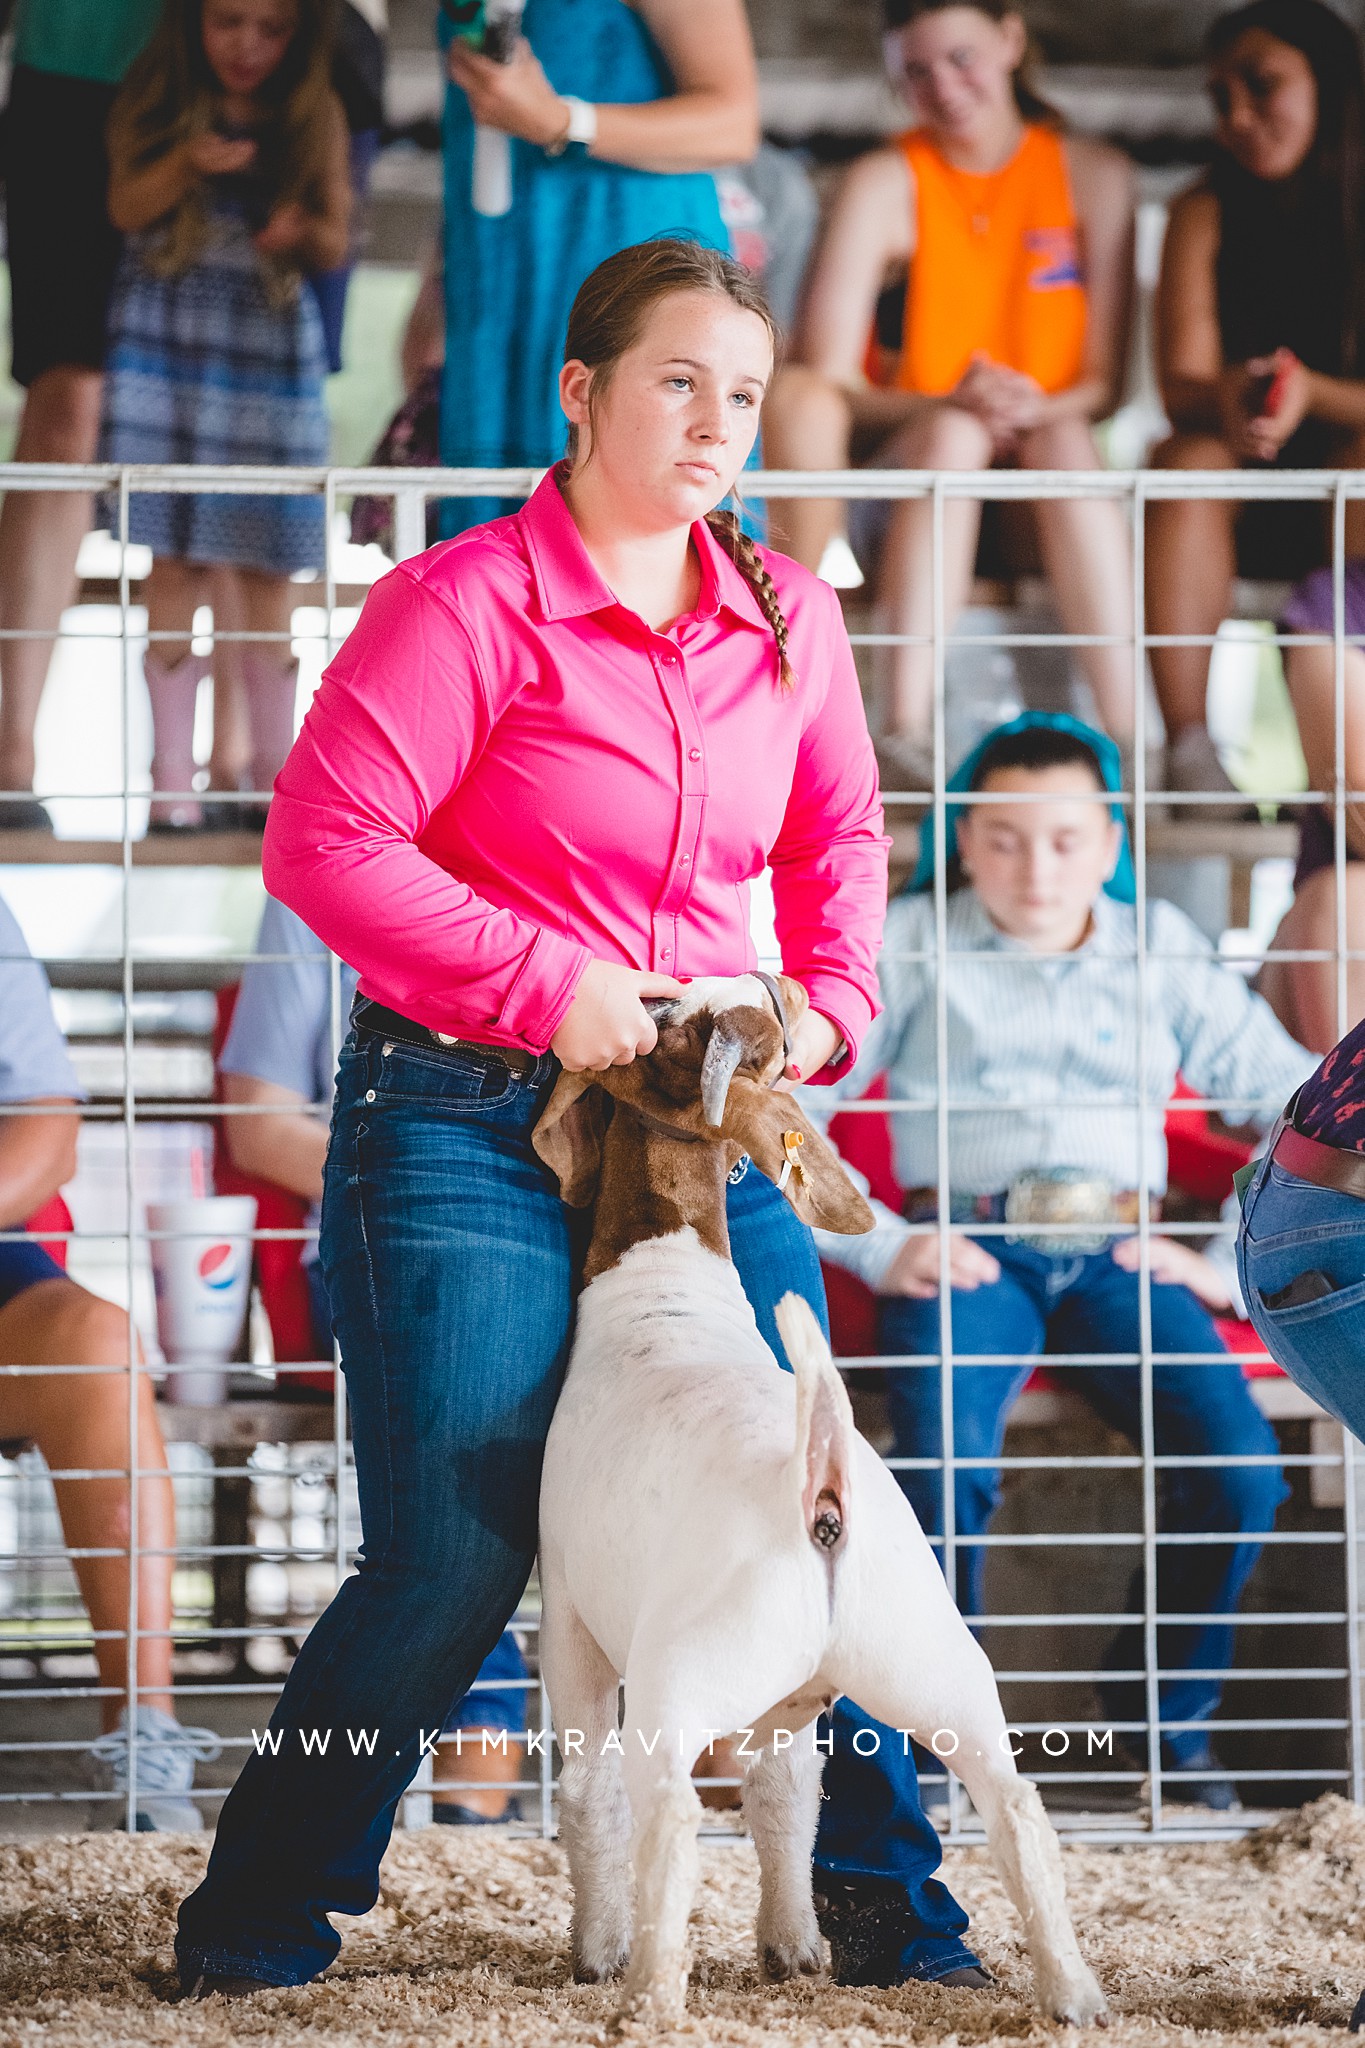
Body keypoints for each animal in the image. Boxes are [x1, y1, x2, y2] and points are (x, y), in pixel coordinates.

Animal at [532, 978, 1113, 2031]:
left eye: (668, 1035)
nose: (652, 994)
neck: (664, 1289)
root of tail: (821, 1485)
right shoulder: (795, 1703)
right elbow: (787, 1794)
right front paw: (793, 1947)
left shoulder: (569, 1623)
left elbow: (592, 1792)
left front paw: (594, 1950)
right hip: (935, 1662)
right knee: (1013, 1804)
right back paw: (1073, 1996)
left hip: (683, 1669)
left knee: (667, 1807)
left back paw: (647, 1996)